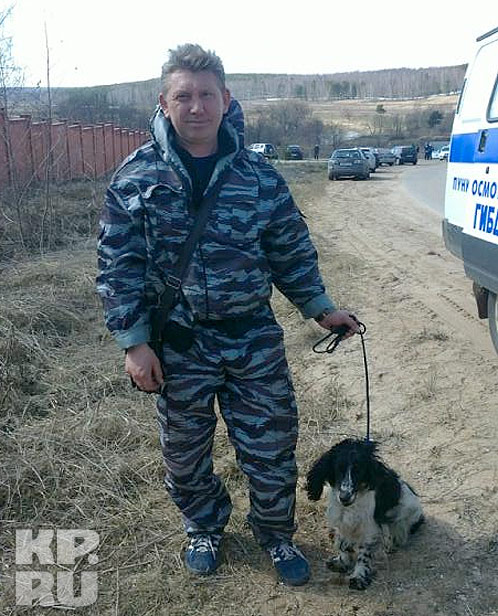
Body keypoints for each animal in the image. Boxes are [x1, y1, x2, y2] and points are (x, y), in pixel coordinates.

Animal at [306, 438, 424, 590]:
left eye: (359, 470)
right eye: (338, 468)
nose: (344, 497)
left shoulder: (369, 528)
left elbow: (364, 555)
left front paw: (359, 576)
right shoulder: (341, 521)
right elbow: (342, 543)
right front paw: (342, 562)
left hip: (406, 510)